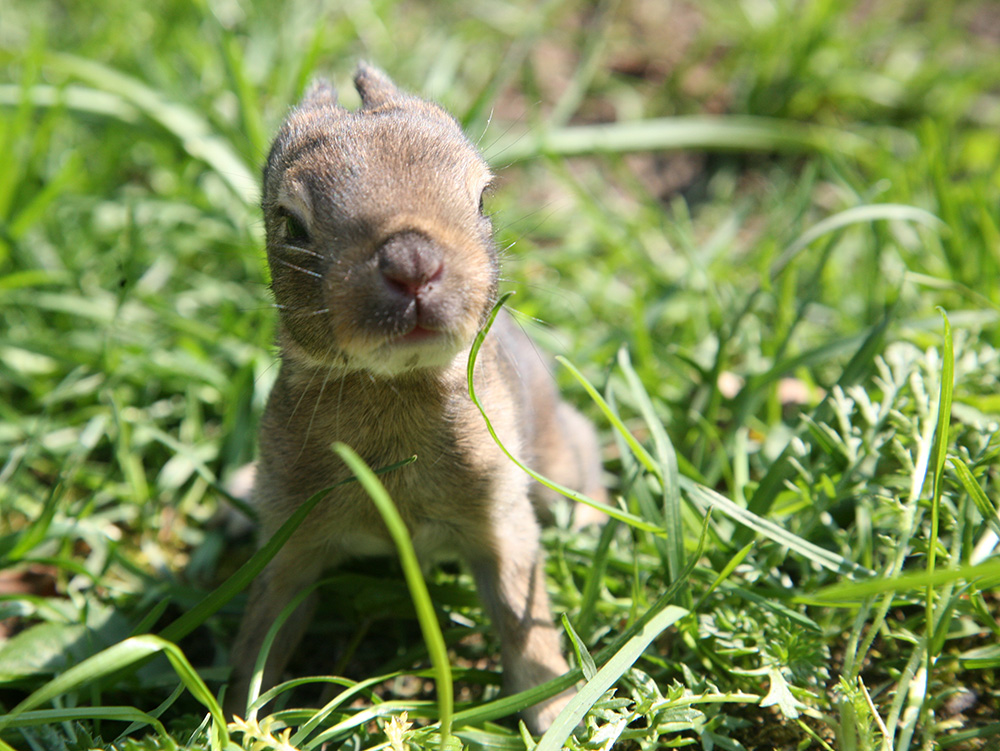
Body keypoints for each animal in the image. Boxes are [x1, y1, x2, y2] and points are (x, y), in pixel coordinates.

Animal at [225, 64, 600, 736]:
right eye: (291, 225)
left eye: (482, 199)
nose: (412, 263)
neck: (395, 383)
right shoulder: (290, 543)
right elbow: (264, 633)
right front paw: (242, 718)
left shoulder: (501, 525)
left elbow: (522, 621)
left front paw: (556, 712)